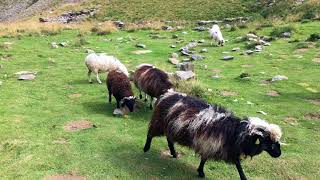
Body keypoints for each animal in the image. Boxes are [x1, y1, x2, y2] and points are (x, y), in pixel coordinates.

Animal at [144, 91, 282, 180]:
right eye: (268, 141)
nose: (279, 154)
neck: (236, 133)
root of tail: (166, 94)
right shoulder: (209, 144)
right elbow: (204, 159)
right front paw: (201, 172)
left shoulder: (229, 149)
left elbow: (238, 165)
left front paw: (244, 177)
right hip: (159, 122)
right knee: (150, 134)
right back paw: (146, 148)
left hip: (171, 127)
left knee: (169, 139)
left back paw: (173, 153)